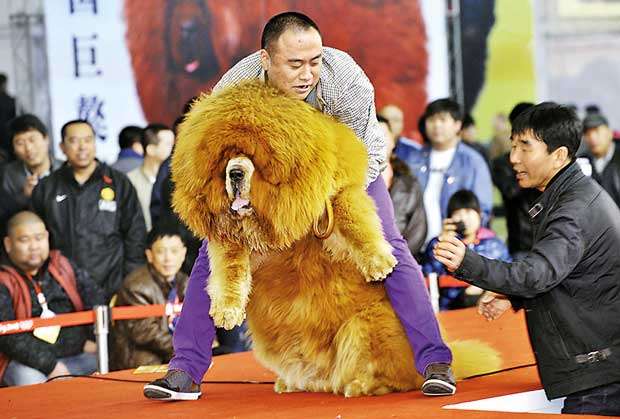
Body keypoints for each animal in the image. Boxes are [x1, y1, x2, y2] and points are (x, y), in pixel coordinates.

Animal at [171, 81, 498, 398]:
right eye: (225, 159)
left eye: (254, 158)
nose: (236, 173)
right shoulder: (229, 239)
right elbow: (229, 272)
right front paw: (226, 310)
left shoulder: (335, 195)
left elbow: (354, 221)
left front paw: (377, 262)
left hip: (364, 327)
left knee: (390, 375)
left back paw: (362, 385)